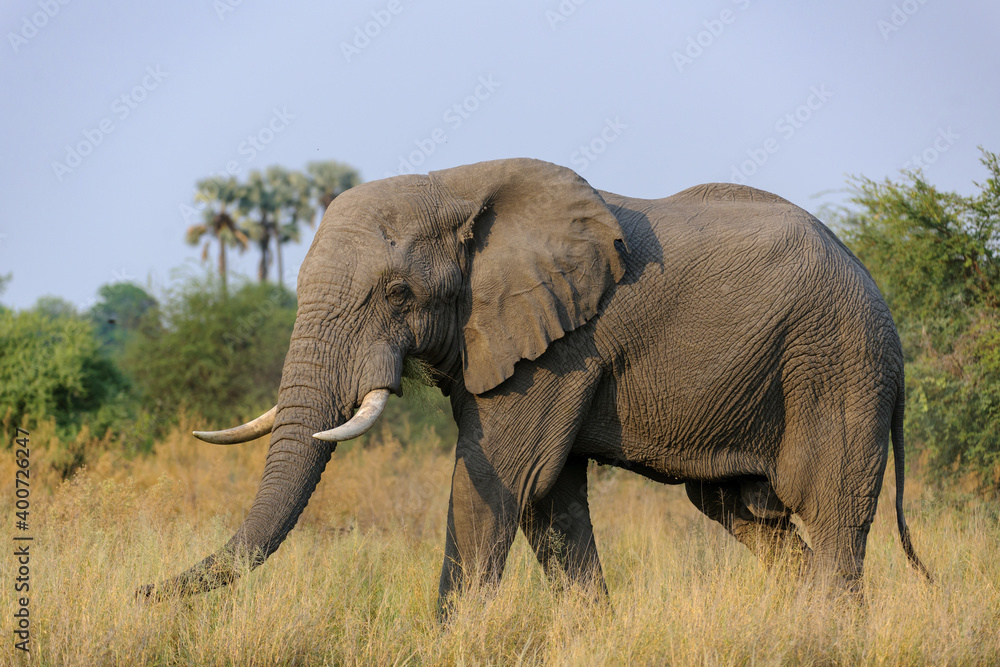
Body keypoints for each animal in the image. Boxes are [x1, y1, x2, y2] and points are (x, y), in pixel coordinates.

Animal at [138, 157, 931, 609]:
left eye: (397, 293)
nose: (139, 590)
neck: (457, 189)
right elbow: (550, 504)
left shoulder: (561, 346)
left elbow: (499, 483)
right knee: (747, 515)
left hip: (838, 366)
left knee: (830, 517)